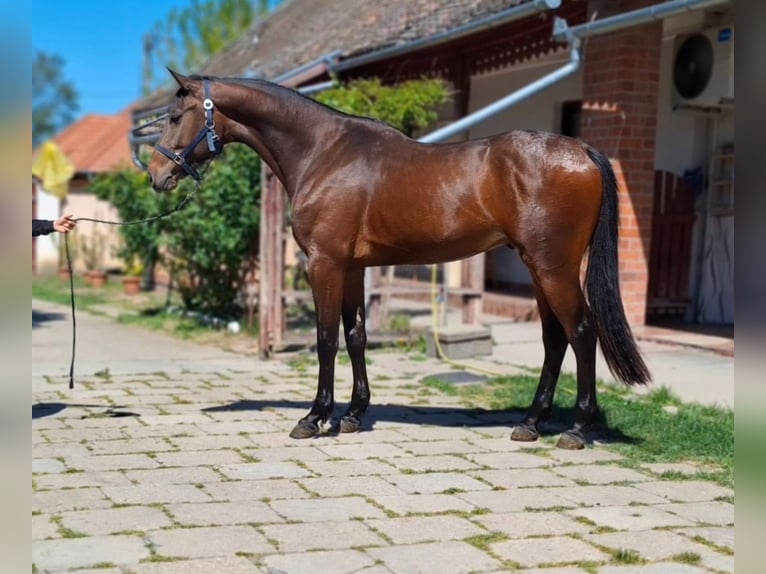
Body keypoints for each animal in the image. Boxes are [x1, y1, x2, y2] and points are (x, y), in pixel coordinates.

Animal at [146, 70, 650, 450]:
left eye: (173, 116)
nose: (155, 175)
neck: (324, 152)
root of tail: (582, 150)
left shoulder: (324, 263)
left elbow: (325, 339)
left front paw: (314, 417)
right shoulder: (351, 268)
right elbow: (356, 337)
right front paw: (352, 414)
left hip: (553, 267)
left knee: (581, 334)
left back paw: (576, 429)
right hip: (538, 268)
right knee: (554, 339)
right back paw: (530, 423)